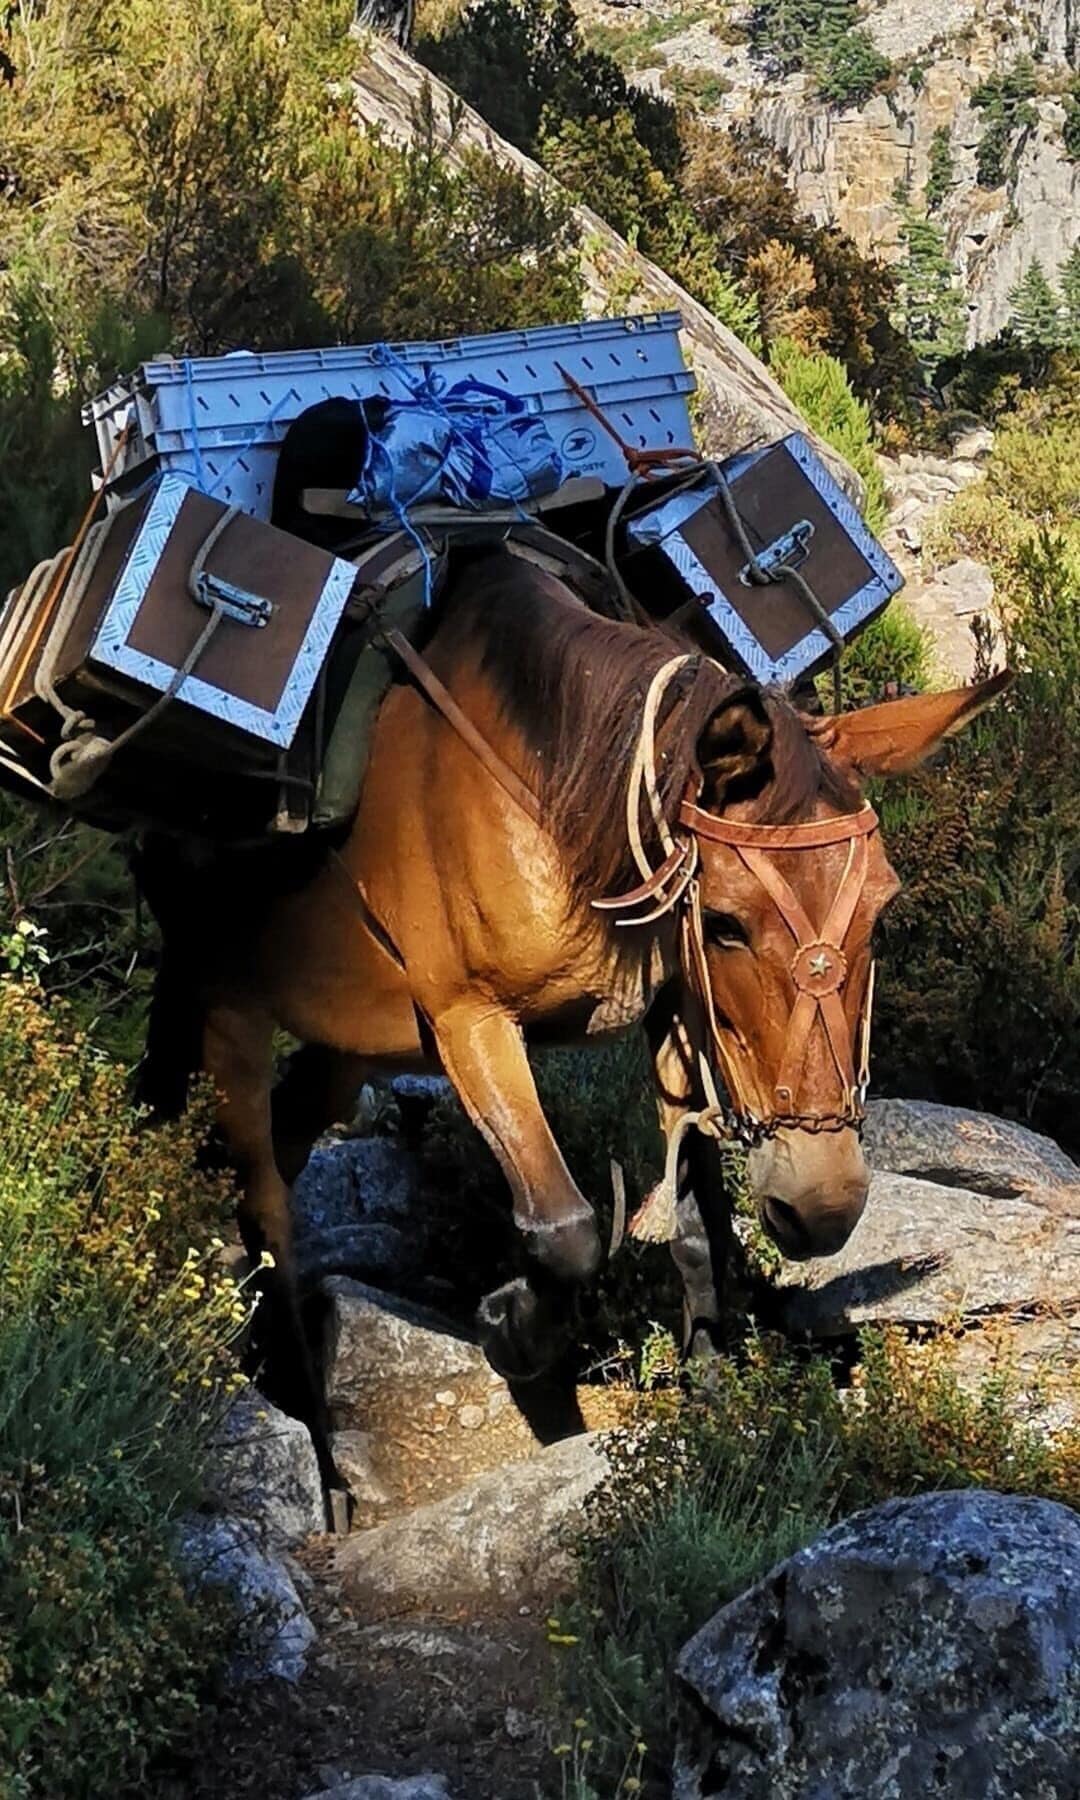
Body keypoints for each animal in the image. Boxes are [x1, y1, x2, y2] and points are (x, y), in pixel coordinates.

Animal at [135, 549, 1008, 1486]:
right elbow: (567, 1231)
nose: (824, 1207)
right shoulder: (471, 1023)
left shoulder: (674, 1012)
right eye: (725, 923)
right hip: (224, 998)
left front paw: (713, 1394)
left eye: (882, 911)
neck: (554, 797)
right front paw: (511, 1327)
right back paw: (309, 1427)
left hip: (344, 1035)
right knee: (260, 1194)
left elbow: (693, 1221)